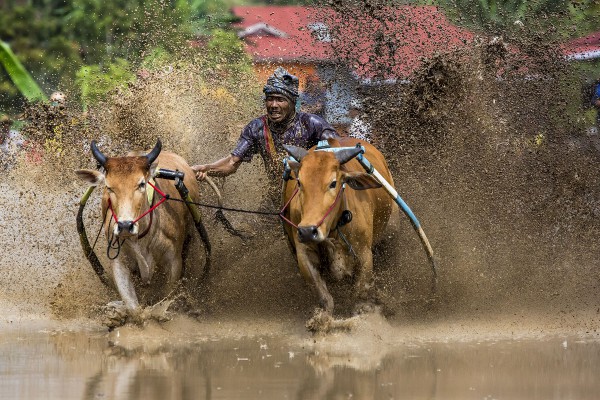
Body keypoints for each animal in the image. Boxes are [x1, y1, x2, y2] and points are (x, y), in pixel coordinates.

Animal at [75, 141, 209, 322]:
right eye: (109, 187)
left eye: (141, 184)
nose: (125, 226)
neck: (140, 238)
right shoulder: (119, 263)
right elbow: (135, 310)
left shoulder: (174, 262)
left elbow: (163, 300)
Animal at [284, 136, 396, 330]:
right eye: (299, 182)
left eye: (333, 183)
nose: (307, 231)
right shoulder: (304, 253)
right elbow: (325, 298)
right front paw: (323, 322)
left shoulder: (364, 255)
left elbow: (358, 294)